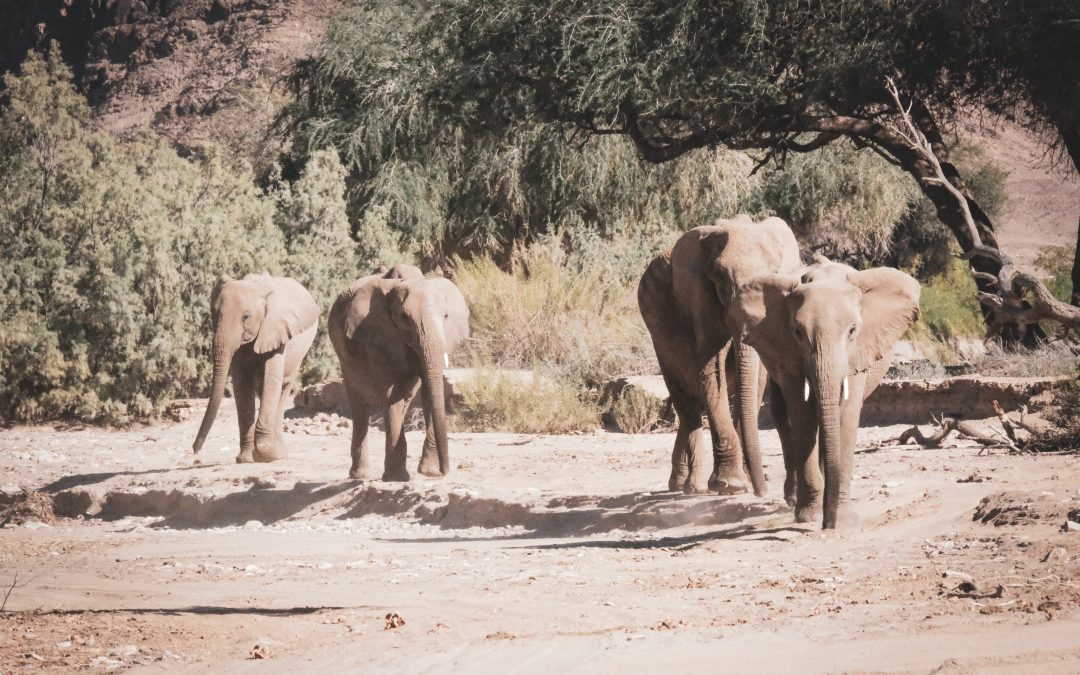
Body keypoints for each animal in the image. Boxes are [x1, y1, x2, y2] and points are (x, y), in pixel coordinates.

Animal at [192, 272, 319, 463]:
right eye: (213, 315)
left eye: (246, 317)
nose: (195, 450)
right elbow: (241, 383)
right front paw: (245, 459)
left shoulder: (275, 329)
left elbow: (271, 379)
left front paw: (265, 454)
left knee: (283, 388)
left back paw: (279, 454)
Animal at [328, 270, 469, 481]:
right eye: (404, 318)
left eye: (446, 316)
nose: (443, 471)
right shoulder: (379, 338)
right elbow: (392, 395)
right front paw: (397, 478)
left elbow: (427, 391)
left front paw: (428, 472)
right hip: (343, 355)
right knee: (359, 404)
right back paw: (360, 475)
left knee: (406, 397)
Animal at [638, 215, 800, 496]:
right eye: (720, 278)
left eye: (775, 274)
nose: (762, 491)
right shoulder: (702, 299)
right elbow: (711, 369)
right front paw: (730, 485)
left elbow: (757, 378)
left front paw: (744, 482)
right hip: (658, 333)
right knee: (686, 404)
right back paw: (690, 486)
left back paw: (683, 484)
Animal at [730, 257, 920, 529]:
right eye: (798, 333)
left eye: (852, 331)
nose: (828, 525)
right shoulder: (788, 351)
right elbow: (802, 416)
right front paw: (809, 516)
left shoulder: (858, 353)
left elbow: (846, 415)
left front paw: (843, 518)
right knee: (783, 412)